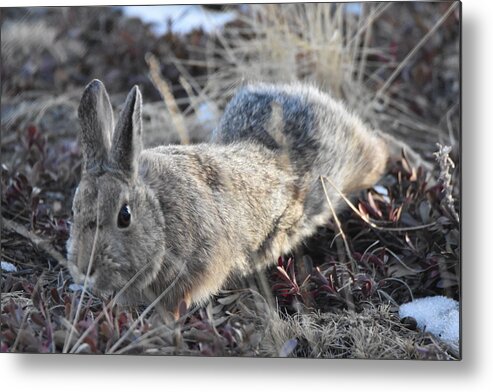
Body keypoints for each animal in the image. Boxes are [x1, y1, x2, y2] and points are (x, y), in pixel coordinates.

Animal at [67, 78, 422, 316]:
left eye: (124, 216)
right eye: (75, 210)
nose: (85, 267)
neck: (161, 215)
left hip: (356, 165)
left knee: (380, 146)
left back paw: (419, 164)